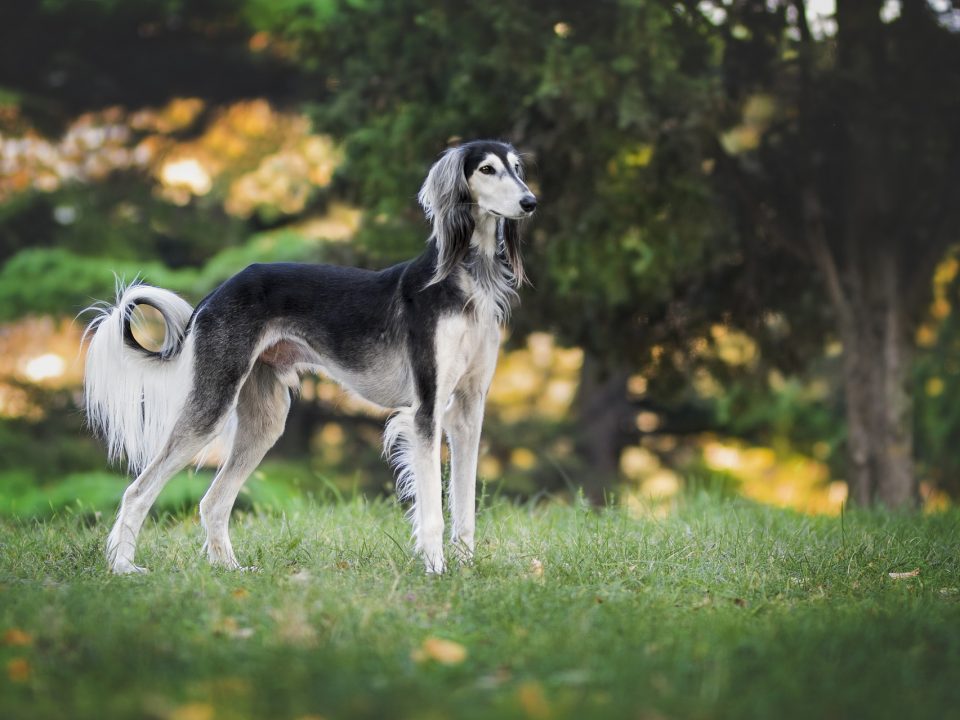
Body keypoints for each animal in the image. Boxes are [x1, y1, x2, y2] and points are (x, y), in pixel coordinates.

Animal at [81, 139, 536, 572]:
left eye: (517, 168)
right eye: (486, 169)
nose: (530, 202)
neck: (465, 279)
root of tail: (216, 293)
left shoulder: (468, 410)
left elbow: (465, 506)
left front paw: (465, 568)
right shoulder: (426, 410)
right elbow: (433, 511)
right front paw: (436, 569)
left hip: (265, 419)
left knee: (213, 501)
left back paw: (230, 569)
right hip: (212, 404)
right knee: (138, 490)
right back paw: (123, 567)